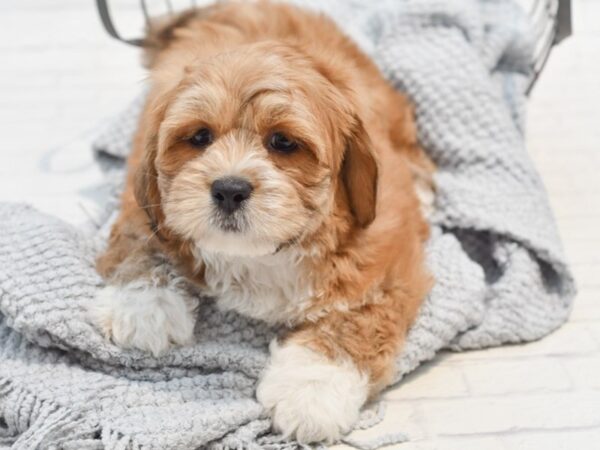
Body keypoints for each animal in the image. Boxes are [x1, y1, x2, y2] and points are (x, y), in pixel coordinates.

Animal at [91, 0, 434, 442]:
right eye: (199, 137)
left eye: (283, 142)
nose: (229, 189)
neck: (264, 255)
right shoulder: (147, 192)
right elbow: (142, 233)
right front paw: (142, 303)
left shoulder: (390, 252)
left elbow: (358, 316)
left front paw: (312, 387)